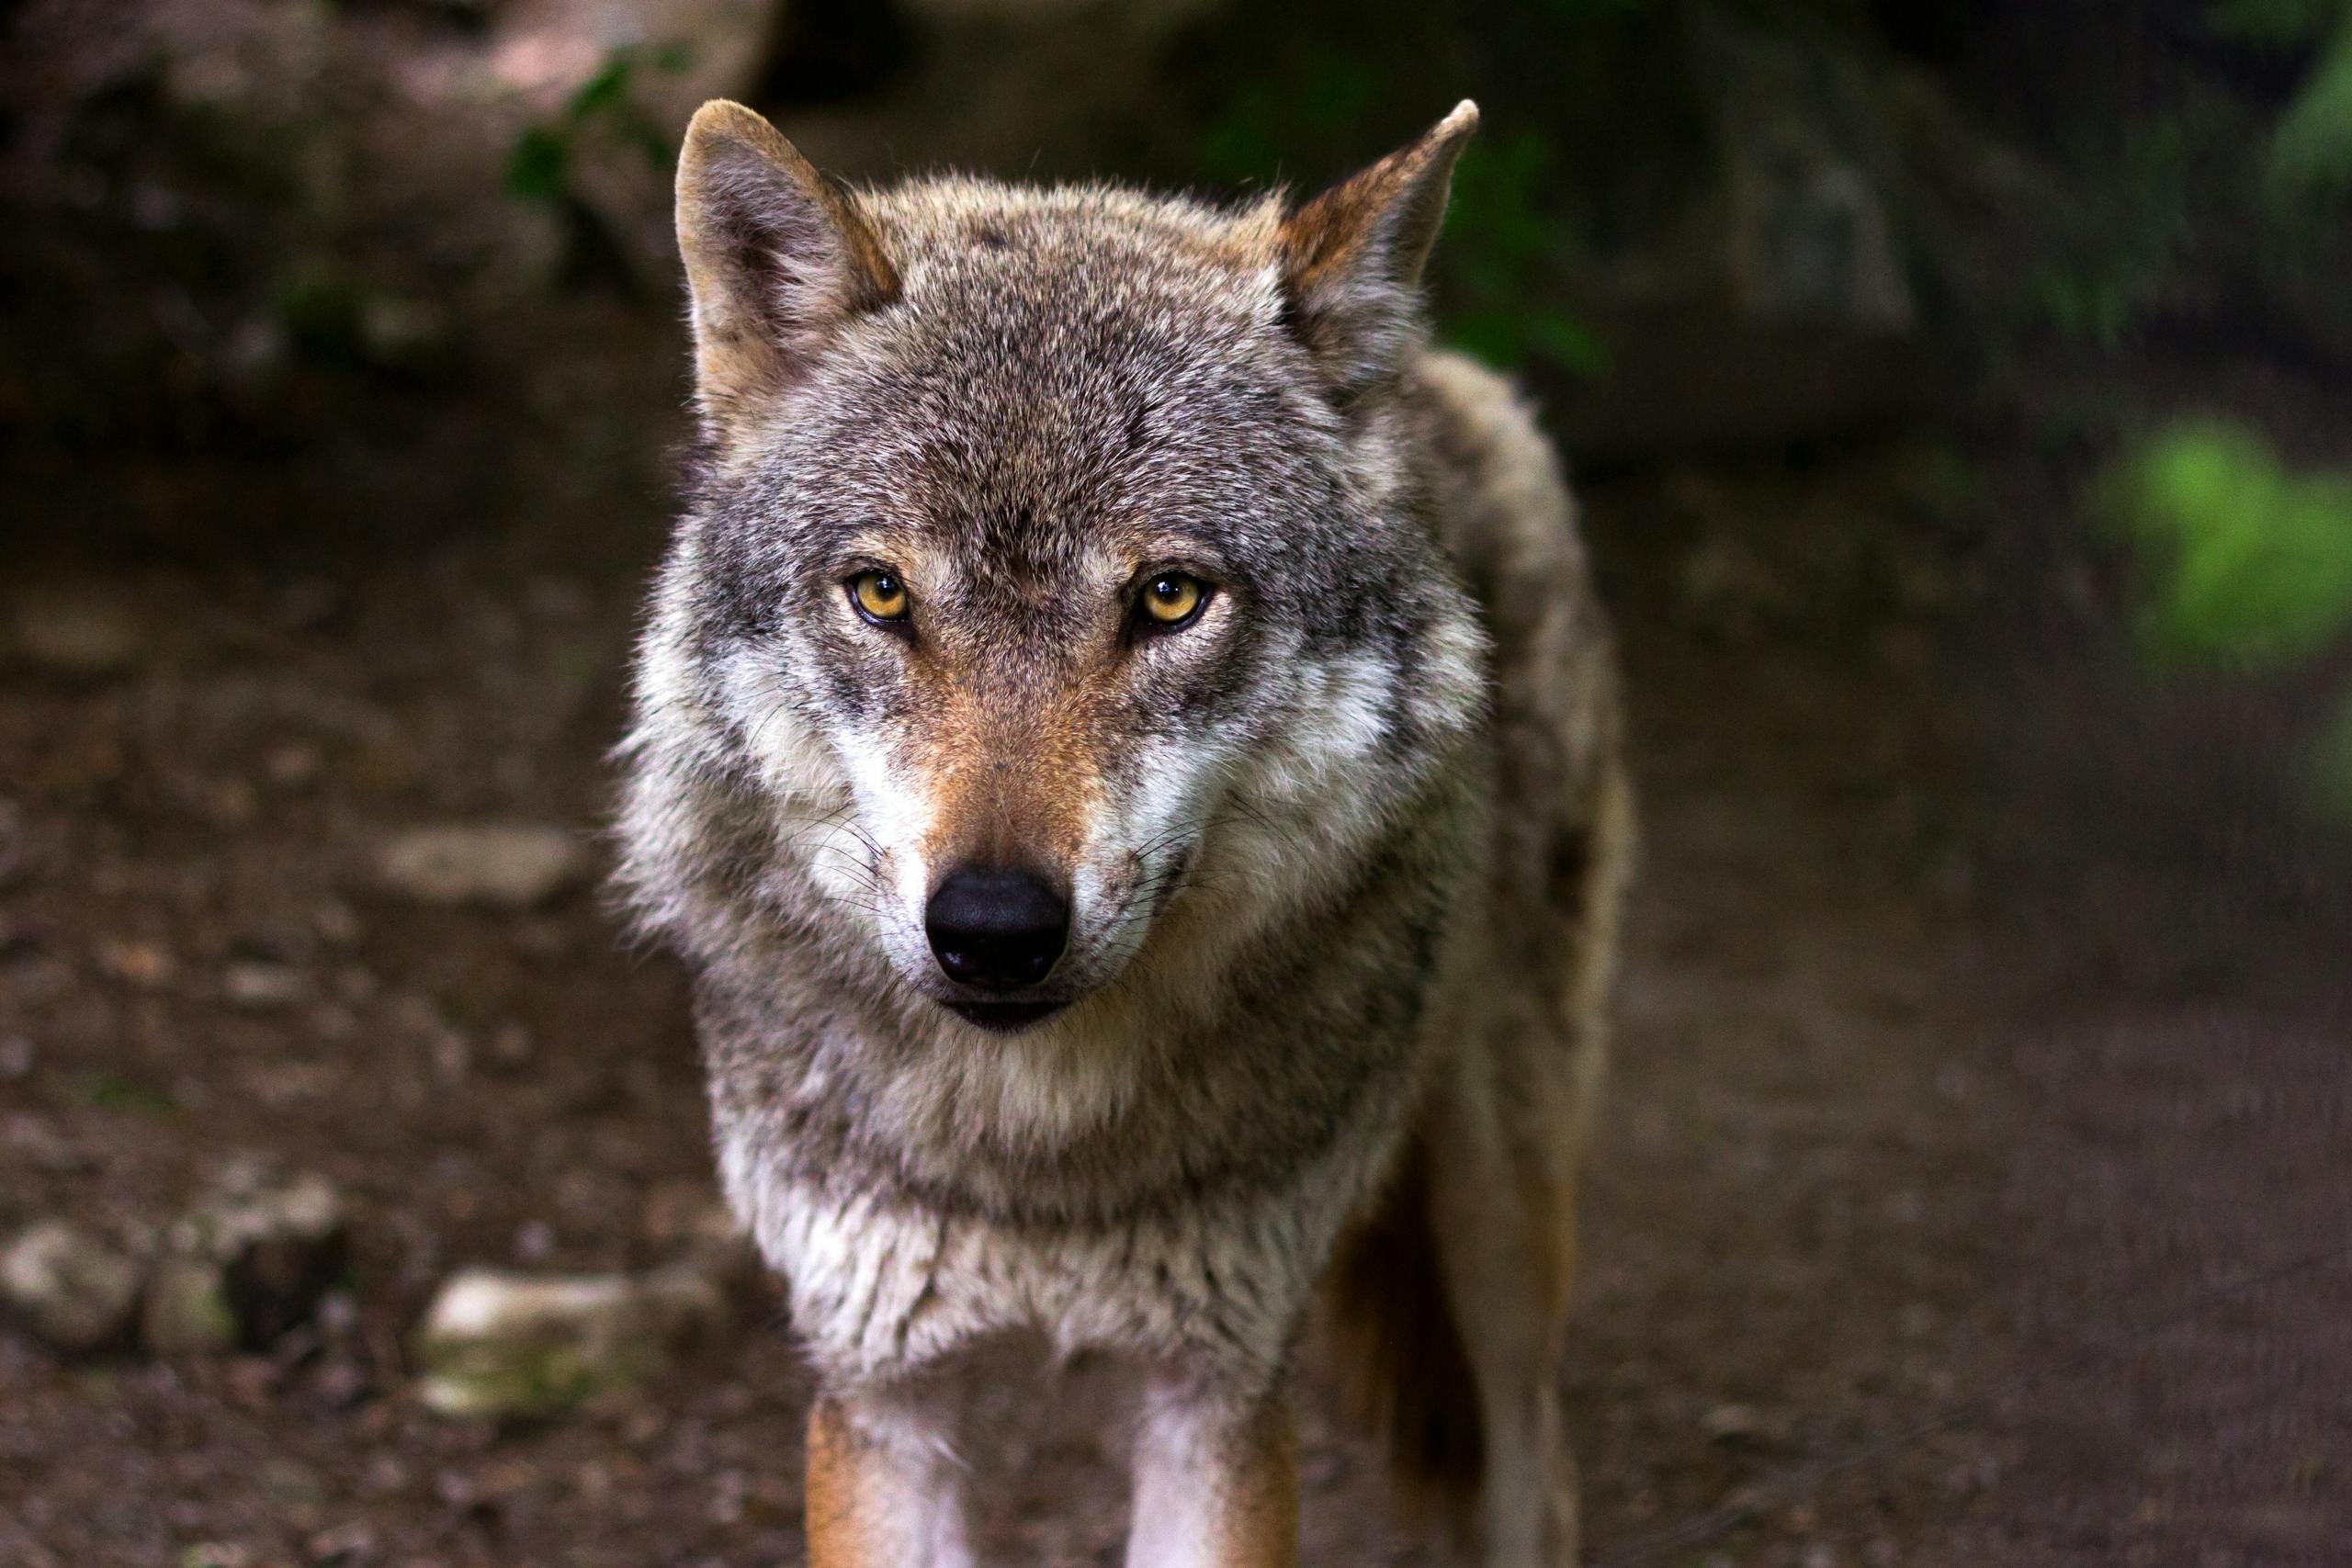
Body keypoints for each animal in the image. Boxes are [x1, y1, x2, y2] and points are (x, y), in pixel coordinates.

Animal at [615, 95, 1632, 1567]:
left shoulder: (1216, 1390)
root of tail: (1434, 375)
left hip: (1501, 1213)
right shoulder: (880, 1391)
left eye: (1166, 598)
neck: (1037, 1158)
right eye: (880, 593)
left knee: (1536, 1470)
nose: (992, 929)